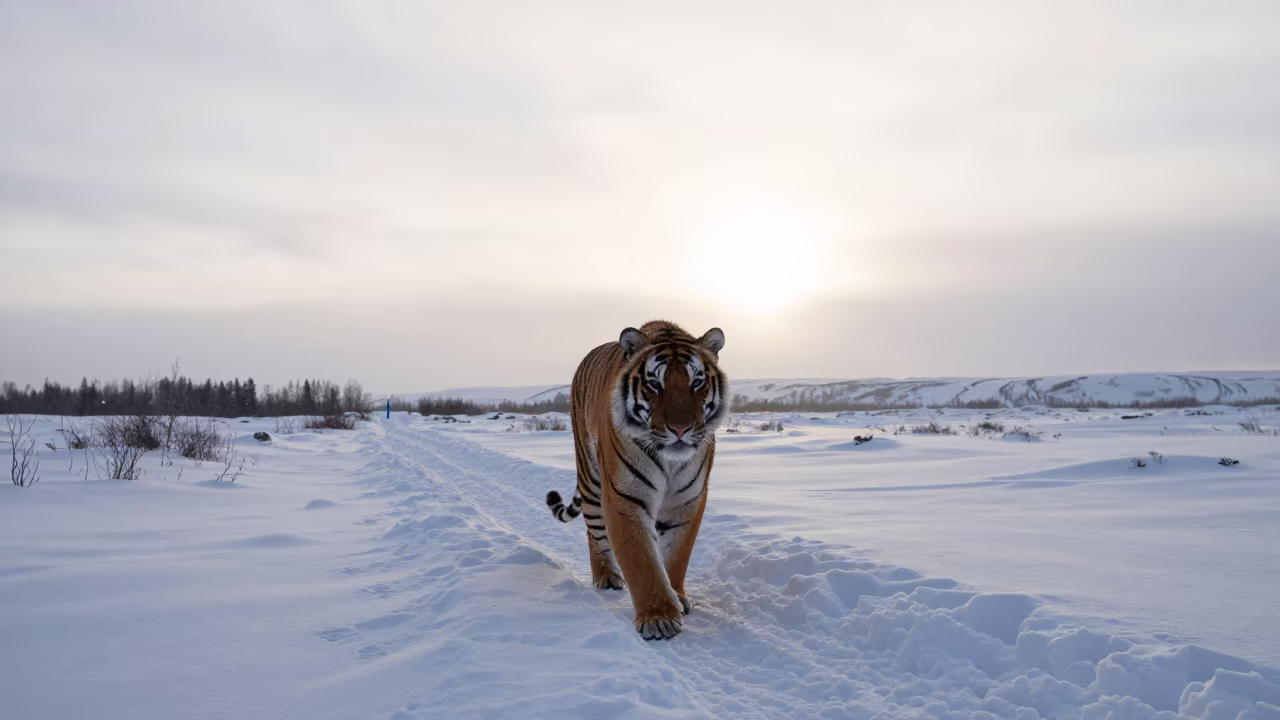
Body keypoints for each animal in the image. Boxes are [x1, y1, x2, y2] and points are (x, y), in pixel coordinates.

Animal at [545, 320, 729, 640]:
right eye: (655, 383)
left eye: (697, 382)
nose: (680, 429)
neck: (670, 463)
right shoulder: (624, 496)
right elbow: (641, 561)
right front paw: (658, 618)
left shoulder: (688, 500)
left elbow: (676, 555)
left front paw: (676, 596)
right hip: (591, 481)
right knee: (594, 533)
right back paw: (606, 576)